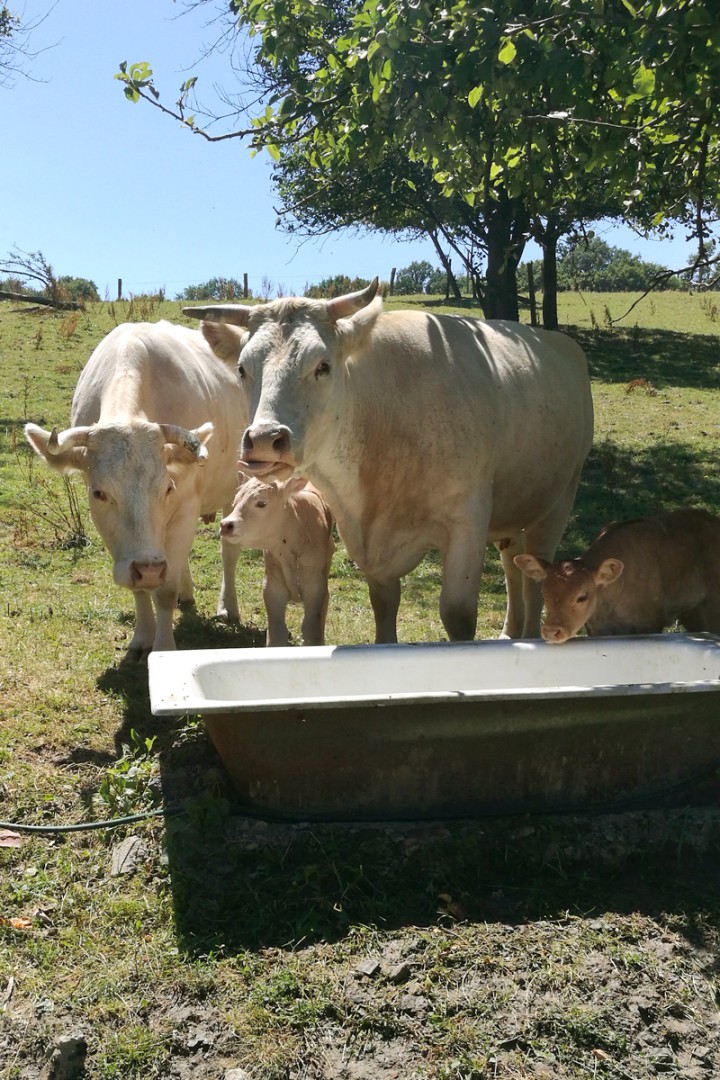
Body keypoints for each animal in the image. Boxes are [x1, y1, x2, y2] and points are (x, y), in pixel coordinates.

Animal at [24, 319, 248, 656]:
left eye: (167, 488)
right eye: (99, 493)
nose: (150, 569)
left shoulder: (185, 504)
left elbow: (164, 591)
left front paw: (164, 647)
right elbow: (141, 590)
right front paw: (143, 638)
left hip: (236, 487)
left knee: (228, 552)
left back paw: (228, 606)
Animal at [220, 473, 334, 639]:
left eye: (261, 503)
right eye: (234, 502)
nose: (225, 525)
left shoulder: (315, 588)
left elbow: (310, 629)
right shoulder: (272, 588)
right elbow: (277, 631)